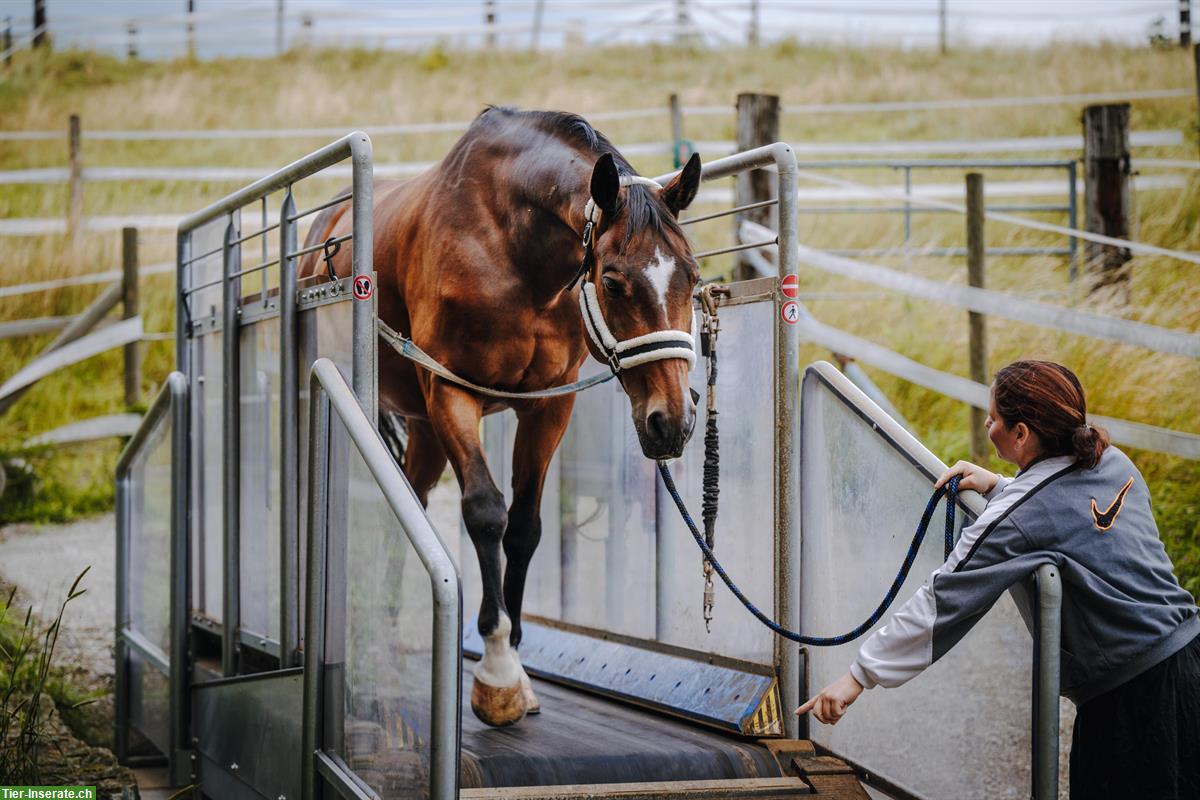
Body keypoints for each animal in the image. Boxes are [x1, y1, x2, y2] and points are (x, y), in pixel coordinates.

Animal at [299, 107, 703, 727]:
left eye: (692, 276)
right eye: (612, 281)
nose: (672, 421)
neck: (514, 251)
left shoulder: (549, 404)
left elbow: (525, 528)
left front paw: (515, 661)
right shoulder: (451, 392)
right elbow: (487, 513)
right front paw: (495, 670)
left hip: (424, 432)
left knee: (409, 501)